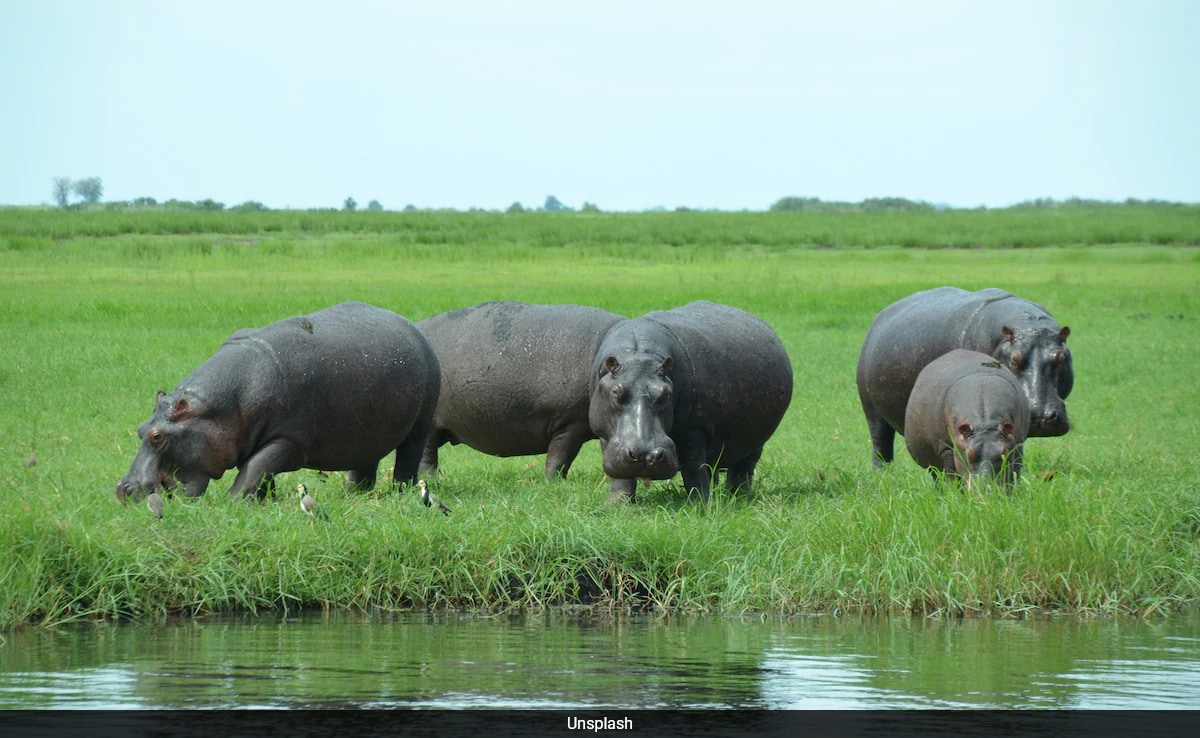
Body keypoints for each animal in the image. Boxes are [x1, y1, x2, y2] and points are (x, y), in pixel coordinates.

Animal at [113, 301, 436, 501]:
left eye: (157, 436)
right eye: (140, 429)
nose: (123, 489)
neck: (216, 409)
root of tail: (414, 328)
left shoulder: (290, 440)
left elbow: (254, 468)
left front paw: (232, 502)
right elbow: (262, 474)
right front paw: (263, 503)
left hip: (418, 427)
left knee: (408, 458)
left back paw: (401, 493)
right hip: (368, 431)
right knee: (364, 463)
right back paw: (355, 495)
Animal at [417, 300, 624, 480]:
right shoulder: (571, 424)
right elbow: (559, 458)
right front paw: (553, 483)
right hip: (430, 426)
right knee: (426, 456)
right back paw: (430, 480)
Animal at [585, 300, 792, 501]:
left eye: (666, 394)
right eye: (615, 393)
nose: (647, 455)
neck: (639, 355)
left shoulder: (694, 429)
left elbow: (693, 469)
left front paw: (701, 504)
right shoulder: (607, 436)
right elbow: (622, 477)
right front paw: (616, 505)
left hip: (756, 441)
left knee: (742, 469)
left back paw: (738, 497)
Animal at [859, 286, 1075, 468]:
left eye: (1061, 357)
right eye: (1014, 359)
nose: (1039, 415)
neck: (1027, 322)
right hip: (871, 409)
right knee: (880, 443)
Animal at [902, 348, 1032, 492]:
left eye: (1004, 454)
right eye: (969, 454)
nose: (987, 491)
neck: (984, 423)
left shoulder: (1017, 443)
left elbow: (1015, 472)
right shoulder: (947, 449)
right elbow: (952, 476)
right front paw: (955, 494)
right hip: (932, 462)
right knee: (937, 476)